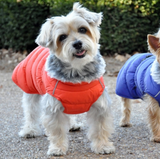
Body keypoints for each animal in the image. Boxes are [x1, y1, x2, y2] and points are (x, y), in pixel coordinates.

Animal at [12, 3, 115, 156]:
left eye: (82, 29)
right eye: (62, 37)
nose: (77, 44)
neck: (77, 73)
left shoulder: (99, 105)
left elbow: (100, 129)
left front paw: (103, 146)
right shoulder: (54, 106)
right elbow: (57, 131)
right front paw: (57, 148)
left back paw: (72, 125)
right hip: (30, 90)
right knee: (30, 111)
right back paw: (29, 130)